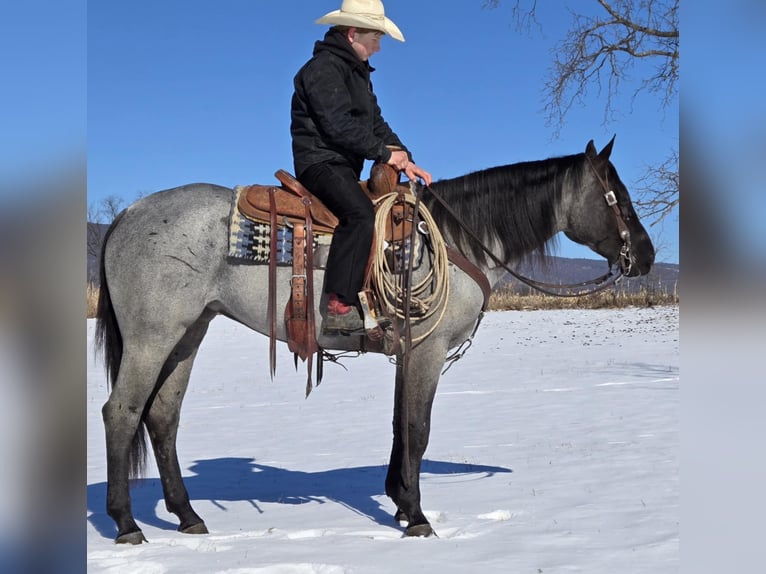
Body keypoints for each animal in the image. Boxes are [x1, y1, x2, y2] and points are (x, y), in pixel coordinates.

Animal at [94, 138, 656, 544]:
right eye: (619, 199)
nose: (648, 257)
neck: (455, 238)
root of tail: (127, 215)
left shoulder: (408, 353)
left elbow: (398, 426)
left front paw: (401, 503)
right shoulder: (428, 351)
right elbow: (418, 429)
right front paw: (418, 517)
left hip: (189, 333)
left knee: (162, 418)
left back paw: (188, 516)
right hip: (151, 337)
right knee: (121, 412)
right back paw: (127, 525)